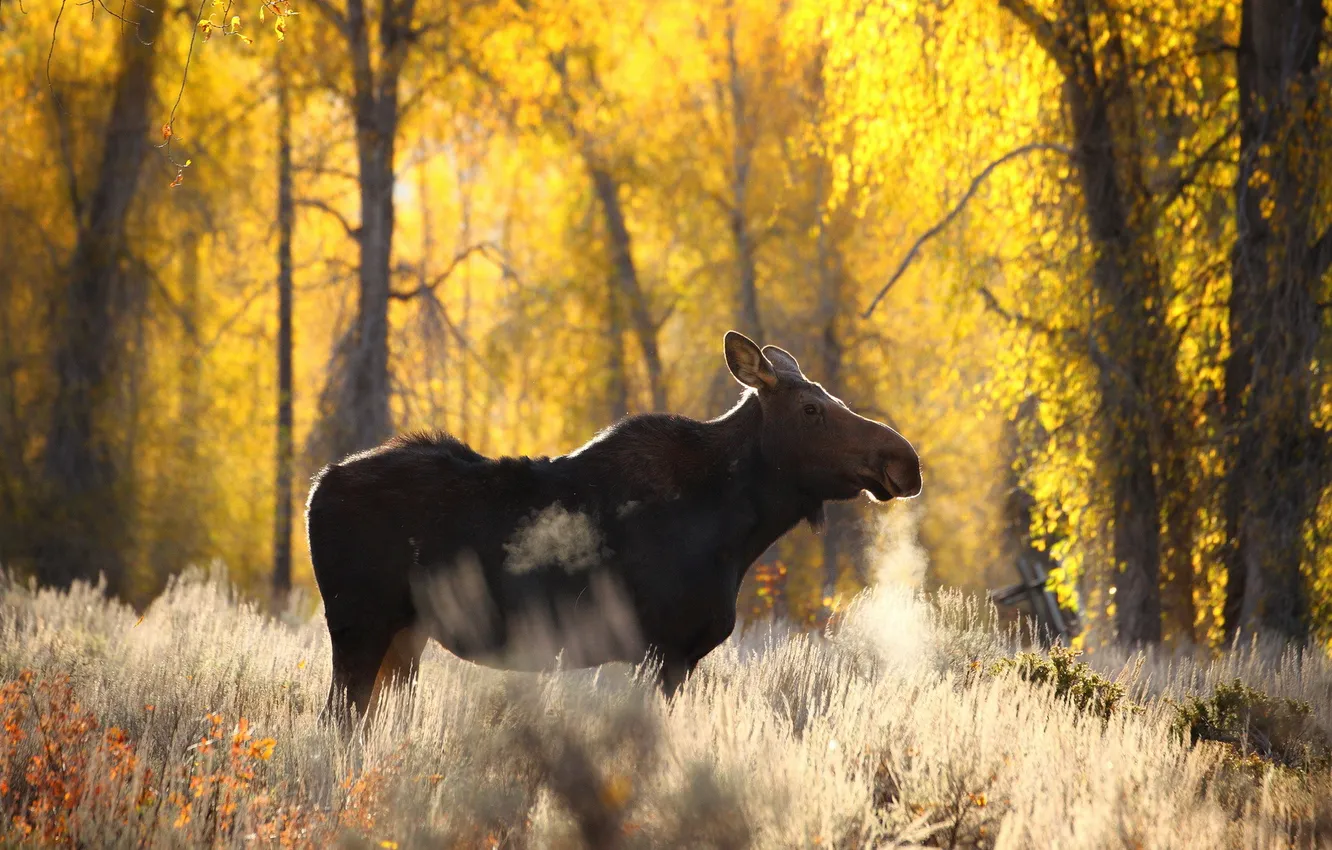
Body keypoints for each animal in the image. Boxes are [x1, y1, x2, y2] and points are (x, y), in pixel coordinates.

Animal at [306, 335, 921, 724]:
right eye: (812, 409)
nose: (905, 459)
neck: (733, 531)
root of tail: (316, 487)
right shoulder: (663, 650)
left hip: (403, 636)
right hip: (358, 625)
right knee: (336, 721)